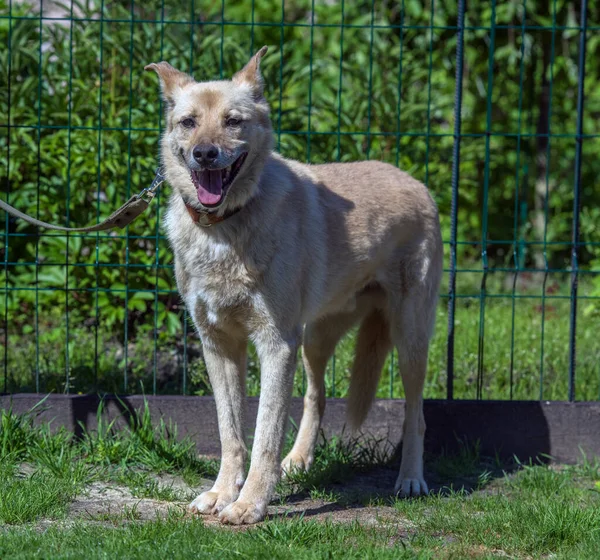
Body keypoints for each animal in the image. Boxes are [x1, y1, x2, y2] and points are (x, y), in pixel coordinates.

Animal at [146, 44, 440, 524]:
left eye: (233, 121)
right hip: (315, 339)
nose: (204, 154)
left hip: (409, 338)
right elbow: (231, 434)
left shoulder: (275, 344)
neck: (226, 227)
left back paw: (411, 480)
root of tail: (416, 183)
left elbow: (264, 435)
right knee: (315, 396)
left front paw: (250, 504)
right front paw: (222, 493)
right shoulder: (219, 346)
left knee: (416, 413)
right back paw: (299, 461)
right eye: (188, 122)